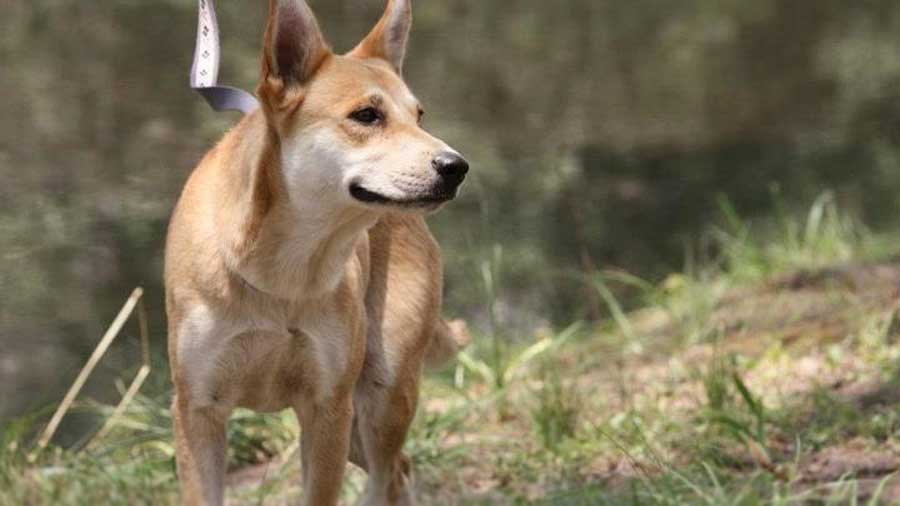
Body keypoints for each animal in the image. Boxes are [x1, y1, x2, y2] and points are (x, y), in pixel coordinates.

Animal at [163, 1, 472, 504]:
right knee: (400, 468)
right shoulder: (198, 412)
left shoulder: (328, 408)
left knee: (388, 474)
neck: (282, 272)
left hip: (380, 395)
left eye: (419, 116)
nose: (456, 166)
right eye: (366, 115)